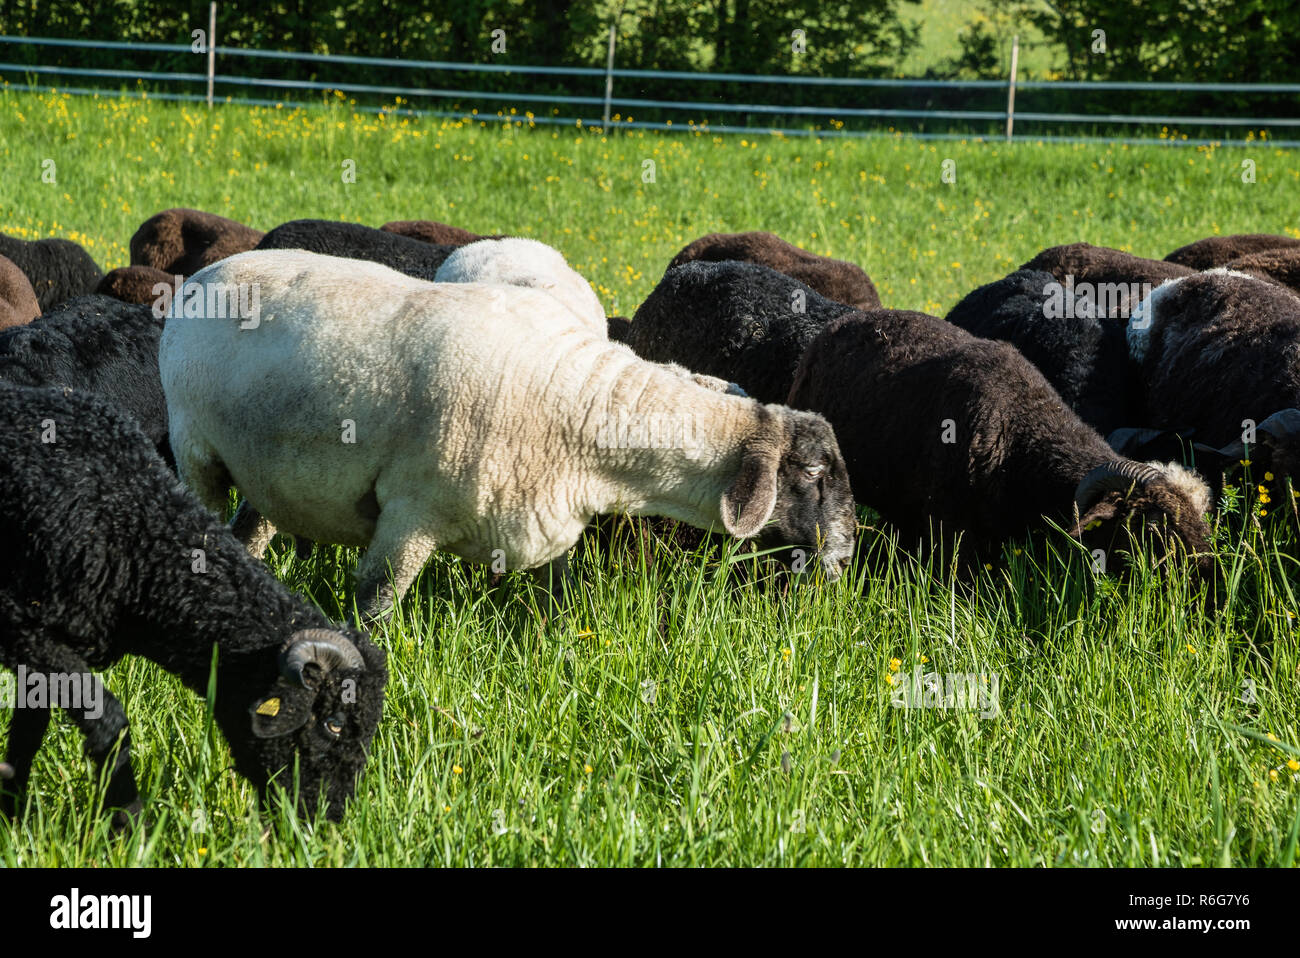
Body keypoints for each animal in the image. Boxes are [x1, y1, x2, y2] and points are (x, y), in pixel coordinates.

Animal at [0, 381, 387, 826]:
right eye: (334, 723)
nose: (328, 817)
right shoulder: (21, 628)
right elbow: (108, 721)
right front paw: (130, 823)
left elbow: (29, 729)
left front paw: (12, 813)